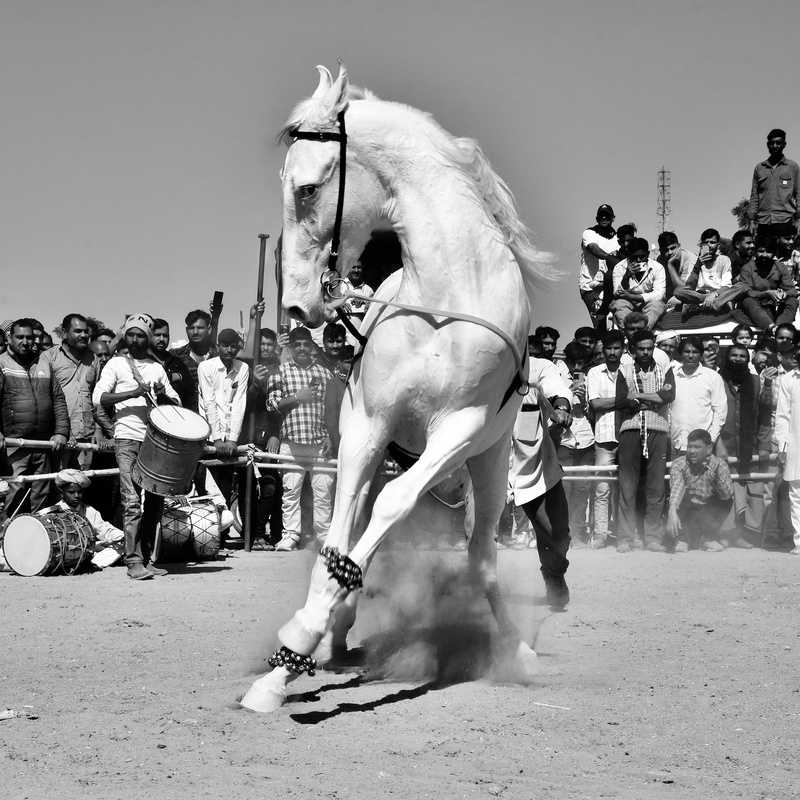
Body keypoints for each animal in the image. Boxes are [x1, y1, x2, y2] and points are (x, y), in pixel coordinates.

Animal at [241, 64, 552, 712]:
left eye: (307, 189)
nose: (297, 305)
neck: (443, 299)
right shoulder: (367, 425)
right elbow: (338, 537)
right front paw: (288, 661)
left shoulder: (460, 430)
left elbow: (393, 506)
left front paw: (302, 637)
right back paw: (338, 631)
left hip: (487, 464)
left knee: (480, 557)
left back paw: (516, 651)